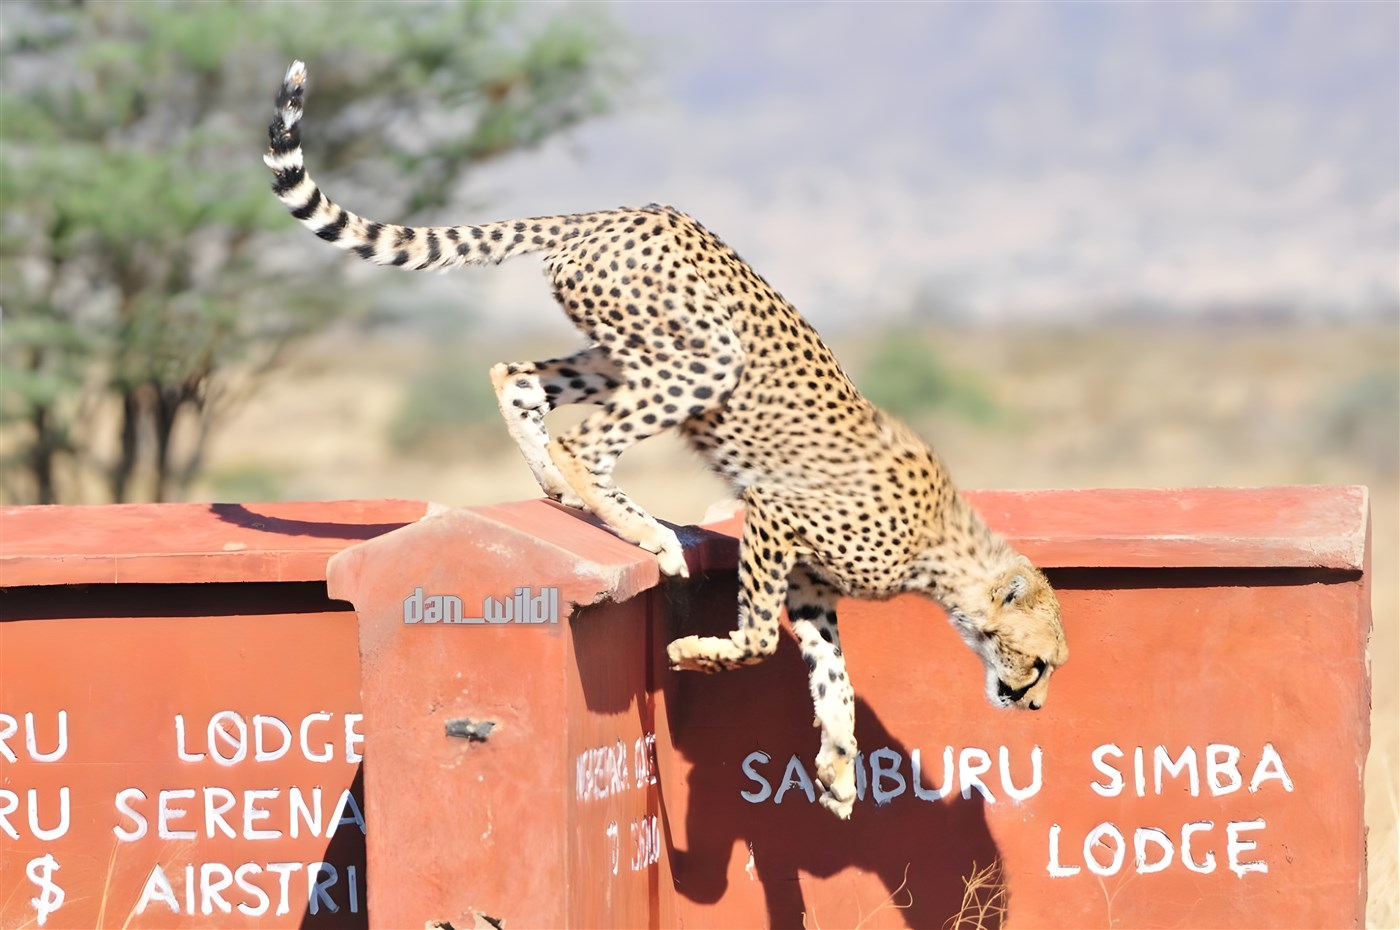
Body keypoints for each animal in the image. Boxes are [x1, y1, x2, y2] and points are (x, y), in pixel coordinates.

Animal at [265, 60, 1068, 819]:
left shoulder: (811, 584)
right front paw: (695, 652)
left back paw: (556, 485)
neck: (946, 558)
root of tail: (621, 211)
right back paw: (648, 533)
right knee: (586, 443)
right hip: (706, 356)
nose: (1032, 705)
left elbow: (832, 675)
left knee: (515, 377)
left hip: (626, 350)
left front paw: (840, 769)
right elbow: (759, 641)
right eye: (1041, 662)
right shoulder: (776, 514)